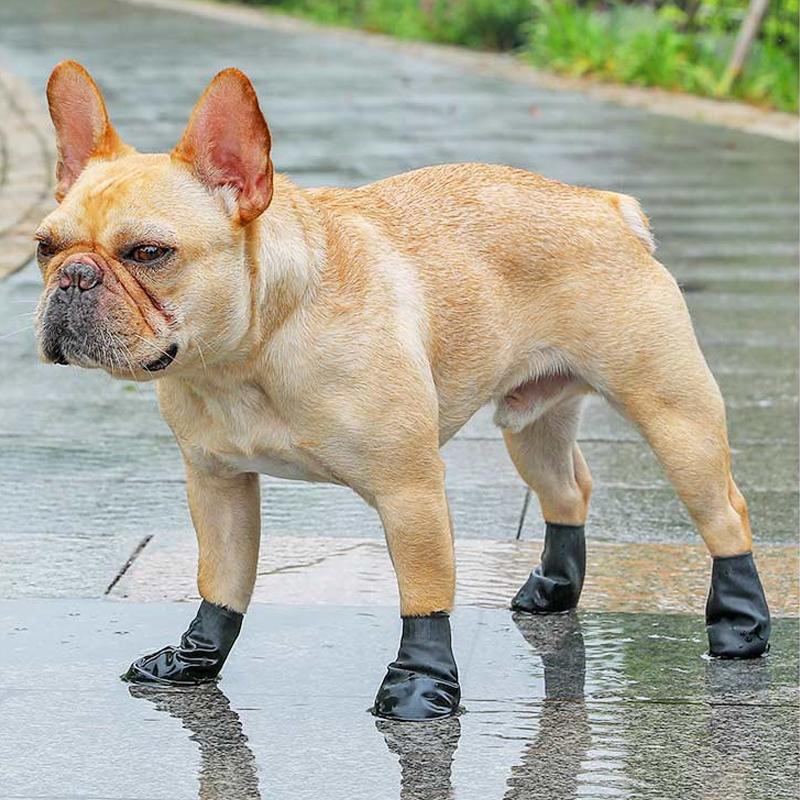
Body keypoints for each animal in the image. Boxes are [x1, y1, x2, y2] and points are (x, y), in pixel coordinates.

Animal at [32, 64, 768, 720]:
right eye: (44, 246)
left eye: (148, 253)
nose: (74, 276)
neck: (250, 352)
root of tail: (607, 207)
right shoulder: (218, 483)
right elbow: (223, 580)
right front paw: (197, 659)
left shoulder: (408, 488)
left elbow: (424, 593)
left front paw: (420, 686)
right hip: (532, 422)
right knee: (567, 491)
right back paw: (554, 588)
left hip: (673, 414)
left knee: (724, 512)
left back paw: (739, 627)